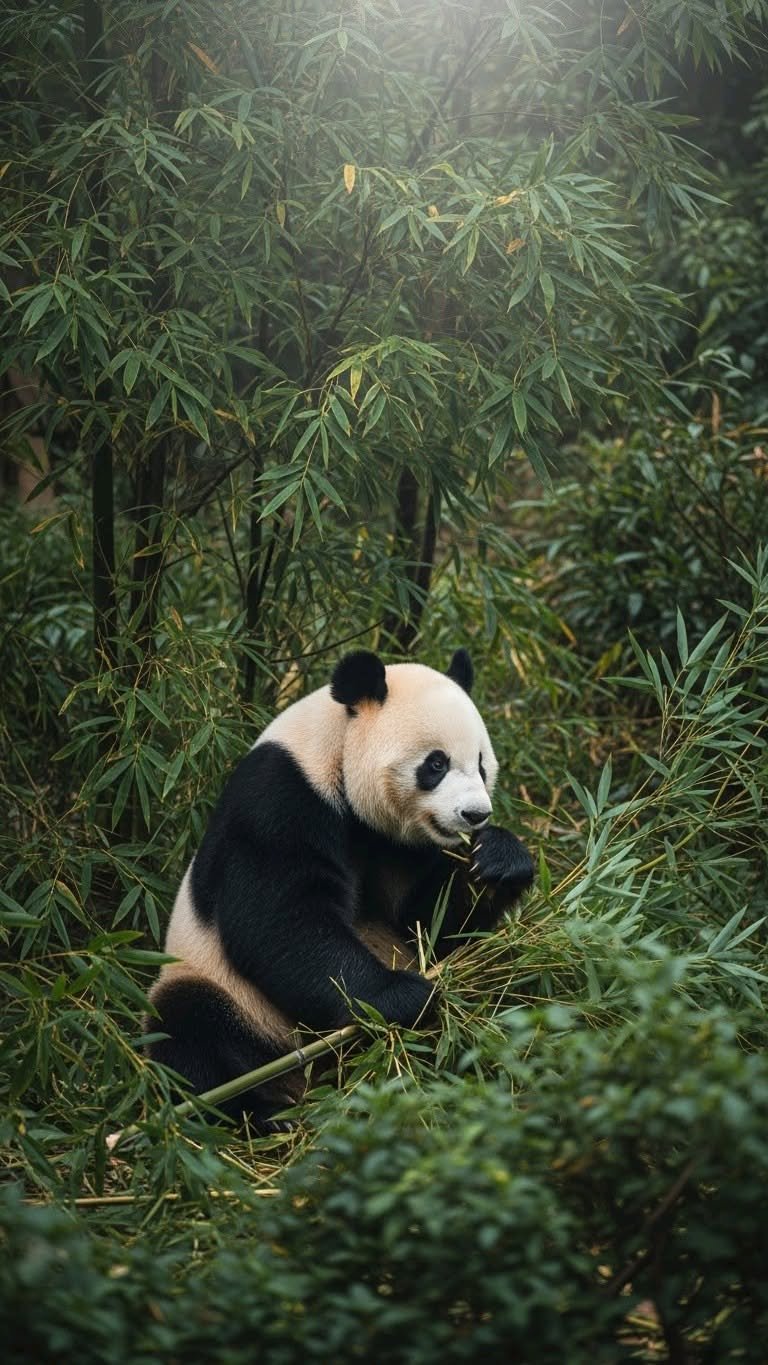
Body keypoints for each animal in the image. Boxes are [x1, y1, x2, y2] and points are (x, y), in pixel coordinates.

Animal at [148, 649, 534, 1128]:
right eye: (436, 764)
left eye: (481, 763)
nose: (475, 814)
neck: (335, 749)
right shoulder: (281, 799)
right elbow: (282, 922)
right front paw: (405, 996)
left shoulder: (399, 846)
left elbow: (429, 922)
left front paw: (498, 858)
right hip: (225, 994)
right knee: (189, 1041)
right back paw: (261, 1116)